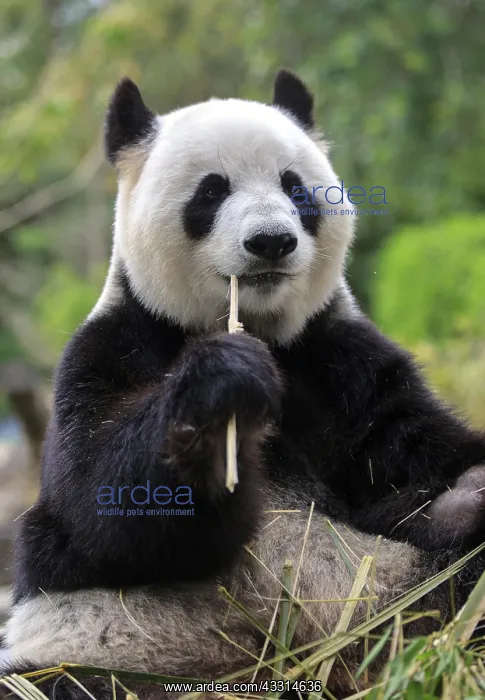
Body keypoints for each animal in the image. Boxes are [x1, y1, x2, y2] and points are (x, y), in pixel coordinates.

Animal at [1, 69, 485, 700]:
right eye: (211, 191)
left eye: (295, 188)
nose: (271, 241)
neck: (255, 327)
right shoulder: (115, 345)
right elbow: (96, 506)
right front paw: (225, 390)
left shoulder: (336, 358)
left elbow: (413, 445)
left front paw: (467, 488)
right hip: (101, 647)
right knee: (62, 680)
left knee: (452, 588)